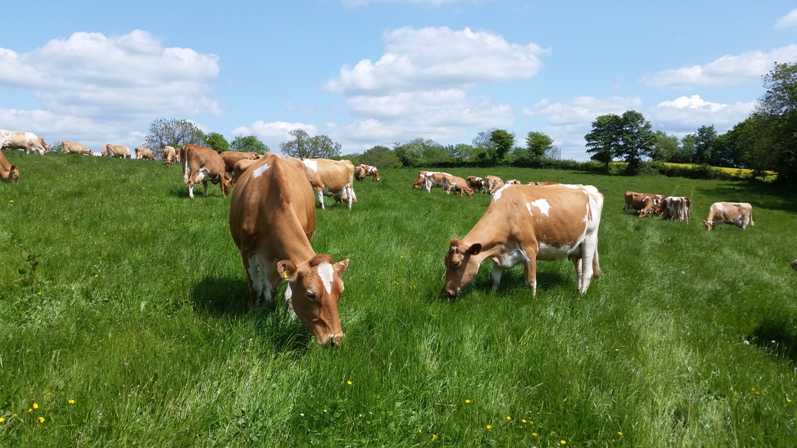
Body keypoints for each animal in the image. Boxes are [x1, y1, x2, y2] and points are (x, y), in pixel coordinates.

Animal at [229, 153, 349, 346]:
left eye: (341, 292)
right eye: (310, 294)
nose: (336, 339)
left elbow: (289, 293)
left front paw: (291, 318)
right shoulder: (246, 250)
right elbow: (255, 286)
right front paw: (253, 313)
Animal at [444, 183, 603, 298]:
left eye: (456, 263)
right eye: (445, 262)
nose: (447, 292)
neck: (508, 213)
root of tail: (591, 189)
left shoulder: (530, 249)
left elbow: (531, 281)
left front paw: (532, 300)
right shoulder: (499, 252)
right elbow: (495, 279)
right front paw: (492, 295)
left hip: (589, 238)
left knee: (587, 272)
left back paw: (580, 296)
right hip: (576, 245)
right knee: (579, 269)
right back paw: (578, 289)